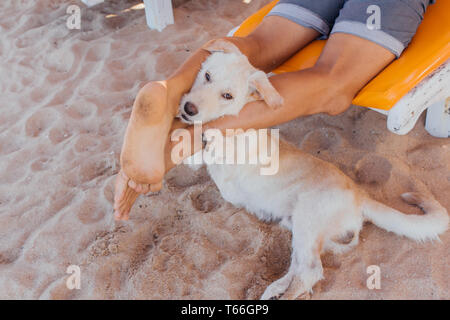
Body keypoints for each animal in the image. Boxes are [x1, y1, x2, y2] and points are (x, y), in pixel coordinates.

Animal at [178, 40, 448, 300]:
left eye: (227, 95)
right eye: (207, 75)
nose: (188, 108)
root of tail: (360, 196)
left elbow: (198, 148)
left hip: (308, 218)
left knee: (311, 271)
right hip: (298, 226)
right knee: (300, 268)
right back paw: (275, 289)